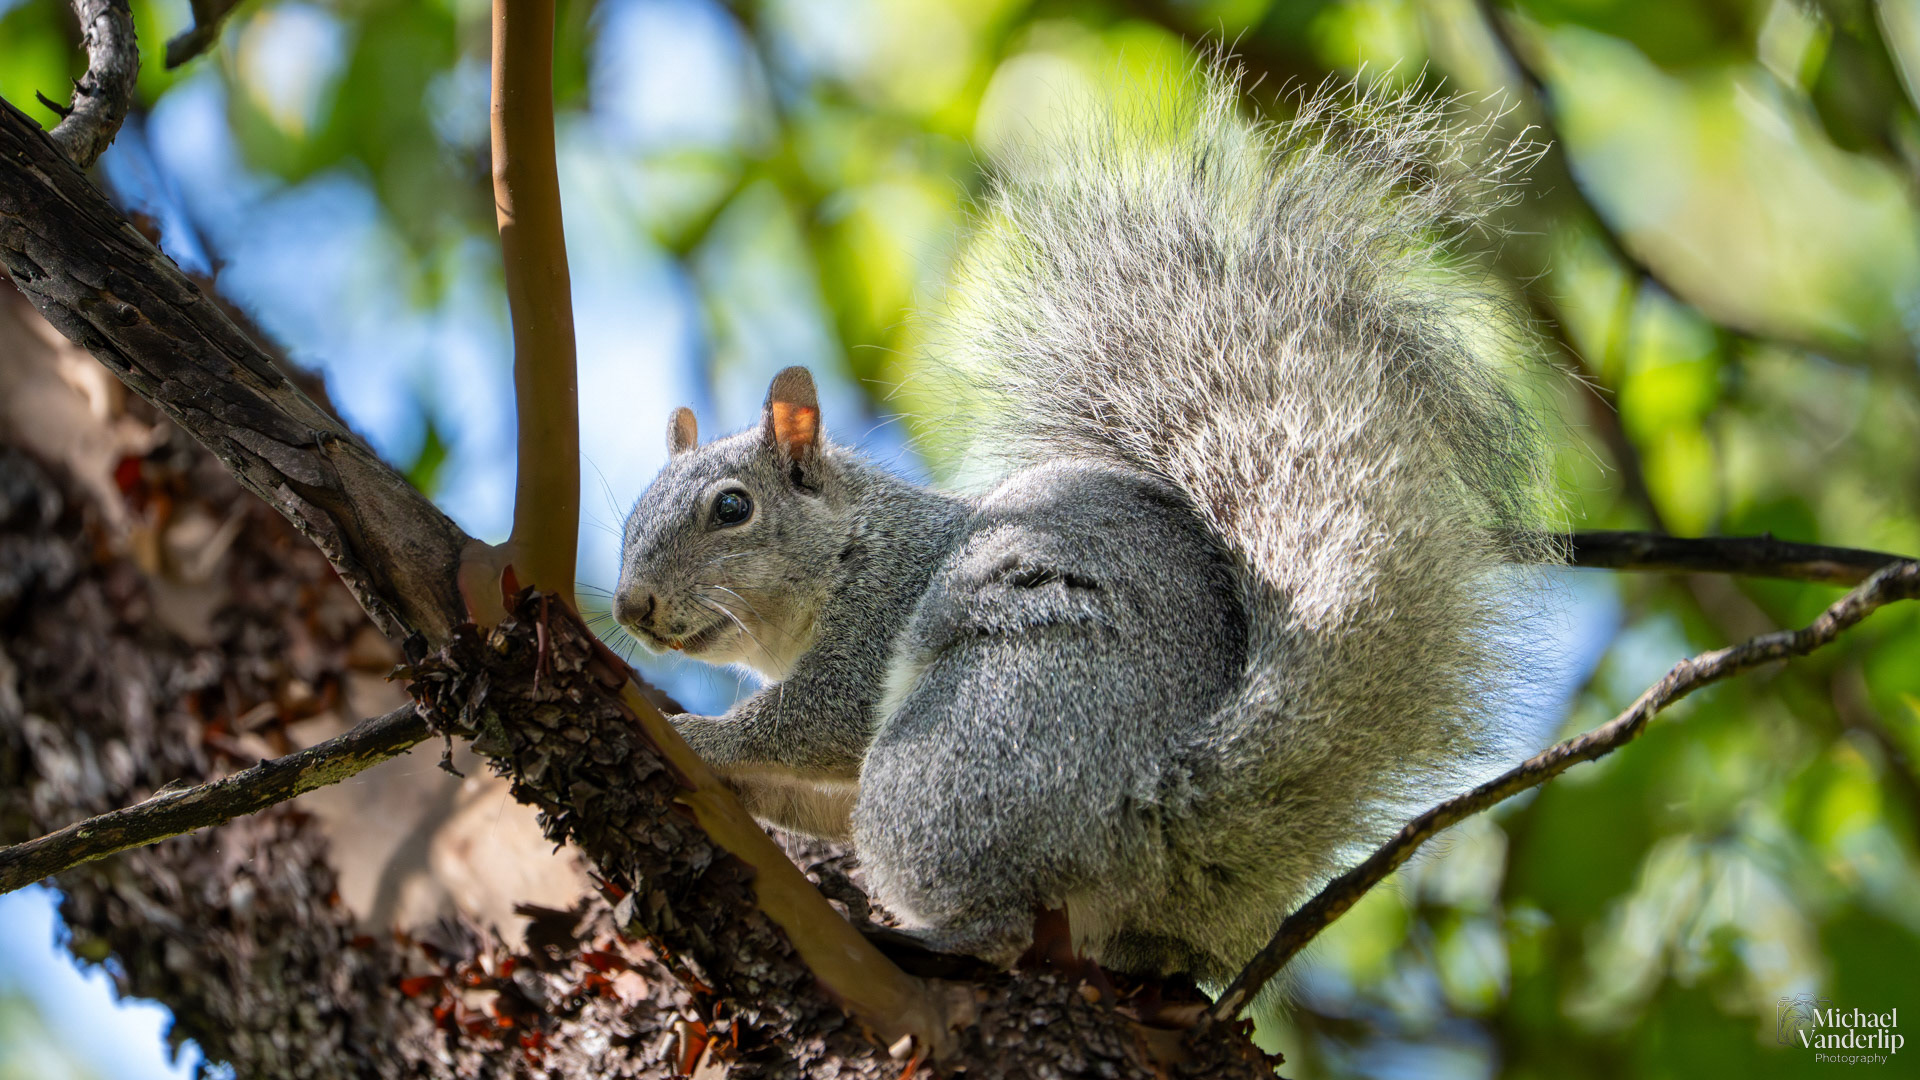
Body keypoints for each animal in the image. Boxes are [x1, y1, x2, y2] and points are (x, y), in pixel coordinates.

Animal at [613, 69, 1559, 987]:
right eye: (630, 518)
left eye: (731, 509)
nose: (629, 607)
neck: (850, 550)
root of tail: (1161, 807)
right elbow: (812, 797)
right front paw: (737, 786)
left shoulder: (873, 624)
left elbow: (816, 718)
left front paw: (697, 736)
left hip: (961, 754)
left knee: (991, 917)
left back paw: (926, 942)